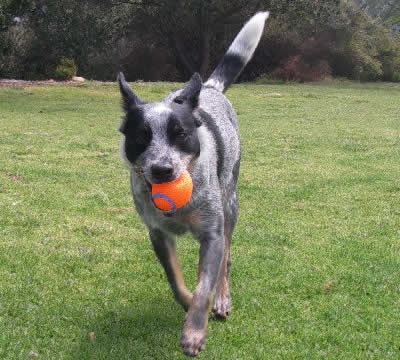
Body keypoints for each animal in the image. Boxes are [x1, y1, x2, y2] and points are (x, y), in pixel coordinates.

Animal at [117, 11, 270, 358]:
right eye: (141, 137)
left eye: (181, 134)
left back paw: (223, 299)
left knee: (227, 258)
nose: (162, 169)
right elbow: (175, 281)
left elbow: (204, 287)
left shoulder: (211, 234)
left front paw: (194, 332)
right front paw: (187, 306)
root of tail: (209, 88)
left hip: (230, 204)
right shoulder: (157, 234)